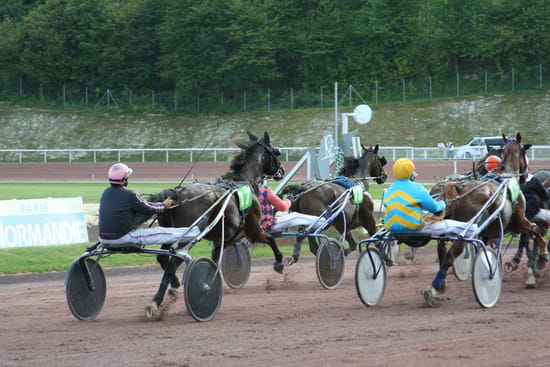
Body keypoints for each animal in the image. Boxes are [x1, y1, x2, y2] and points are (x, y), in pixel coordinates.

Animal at [144, 132, 286, 320]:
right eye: (276, 152)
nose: (282, 170)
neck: (244, 181)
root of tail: (178, 193)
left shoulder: (222, 240)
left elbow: (214, 261)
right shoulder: (253, 230)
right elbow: (271, 240)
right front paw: (279, 263)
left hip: (171, 233)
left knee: (163, 258)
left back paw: (174, 286)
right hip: (186, 237)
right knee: (173, 262)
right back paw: (156, 301)